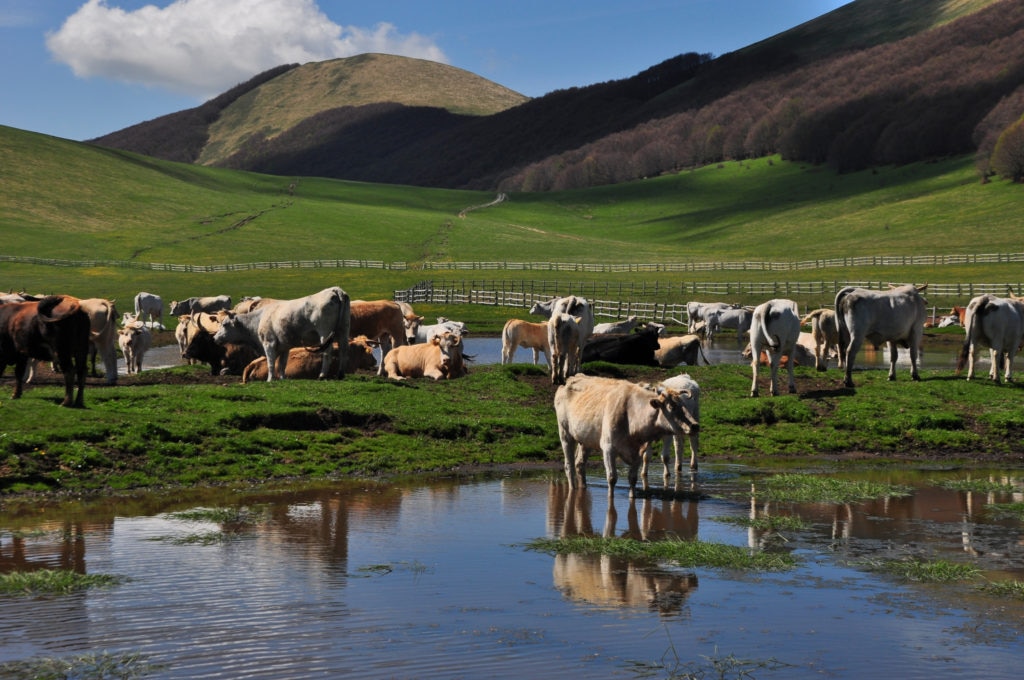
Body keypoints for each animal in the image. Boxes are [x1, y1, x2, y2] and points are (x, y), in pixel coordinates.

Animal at [212, 284, 352, 383]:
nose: (215, 338)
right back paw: (340, 374)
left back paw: (322, 375)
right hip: (344, 330)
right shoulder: (284, 347)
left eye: (225, 324)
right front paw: (282, 379)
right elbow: (282, 365)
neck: (259, 319)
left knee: (327, 352)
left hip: (325, 333)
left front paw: (270, 380)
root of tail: (335, 290)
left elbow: (271, 363)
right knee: (344, 350)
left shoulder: (269, 343)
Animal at [552, 374, 704, 497]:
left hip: (586, 440)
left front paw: (632, 498)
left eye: (684, 404)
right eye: (671, 406)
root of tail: (569, 380)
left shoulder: (639, 450)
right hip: (565, 434)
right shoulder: (608, 448)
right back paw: (573, 490)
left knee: (580, 464)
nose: (694, 425)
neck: (631, 415)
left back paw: (583, 488)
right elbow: (612, 478)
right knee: (569, 466)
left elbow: (633, 478)